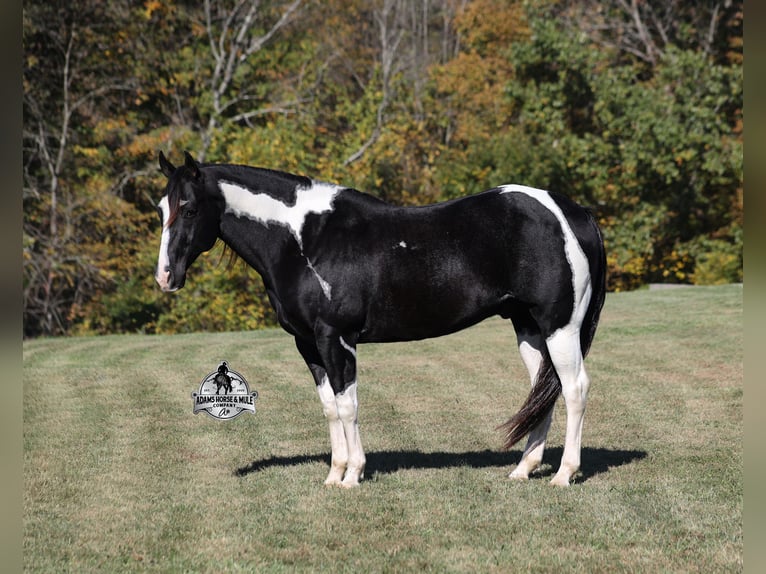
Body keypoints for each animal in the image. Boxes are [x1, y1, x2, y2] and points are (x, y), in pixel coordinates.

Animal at [154, 151, 606, 488]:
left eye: (189, 208)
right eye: (161, 208)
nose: (165, 276)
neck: (305, 240)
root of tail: (573, 212)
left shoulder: (336, 338)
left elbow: (348, 405)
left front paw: (353, 474)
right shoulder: (308, 344)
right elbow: (330, 407)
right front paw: (334, 475)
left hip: (560, 327)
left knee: (574, 389)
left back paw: (564, 475)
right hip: (528, 327)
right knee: (543, 389)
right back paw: (523, 469)